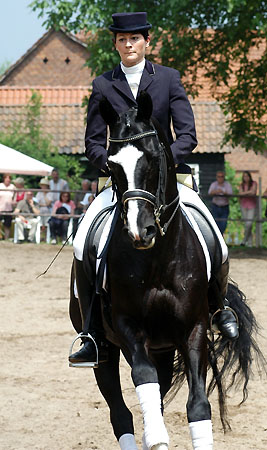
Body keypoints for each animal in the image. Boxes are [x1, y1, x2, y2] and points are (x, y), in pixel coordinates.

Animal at [69, 92, 266, 450]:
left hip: (163, 346)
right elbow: (144, 384)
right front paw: (157, 438)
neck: (158, 258)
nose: (140, 231)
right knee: (121, 411)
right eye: (112, 165)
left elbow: (198, 405)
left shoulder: (194, 329)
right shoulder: (129, 328)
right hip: (106, 349)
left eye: (152, 157)